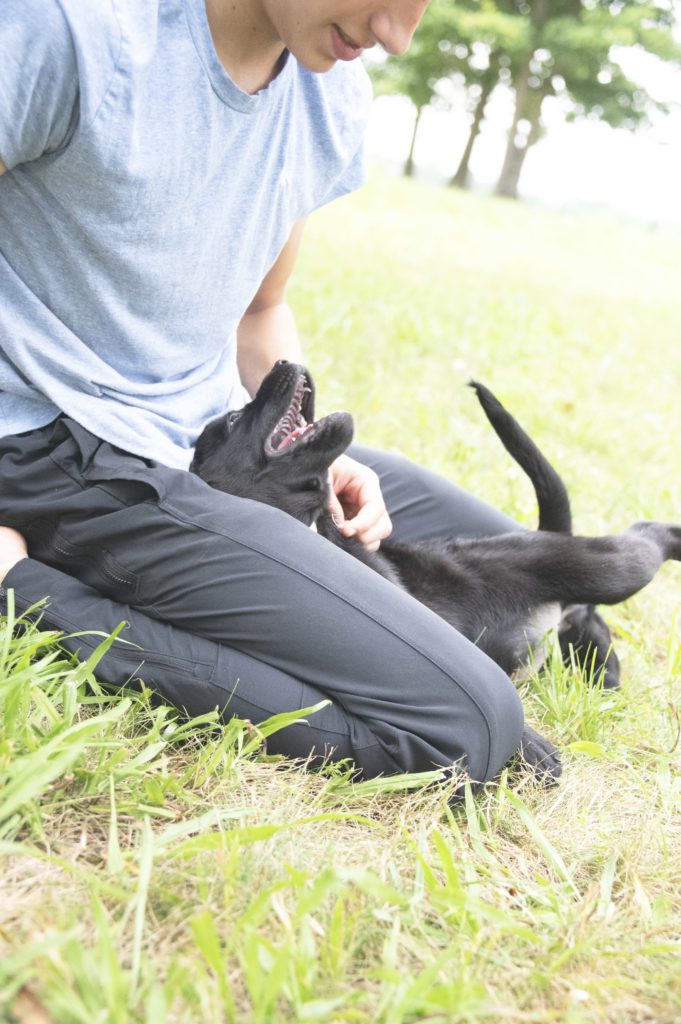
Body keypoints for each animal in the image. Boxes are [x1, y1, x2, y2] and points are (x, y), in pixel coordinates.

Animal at [191, 364, 679, 778]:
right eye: (233, 421)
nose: (283, 362)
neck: (313, 527)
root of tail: (545, 534)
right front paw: (531, 746)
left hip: (611, 569)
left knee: (646, 537)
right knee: (600, 603)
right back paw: (605, 676)